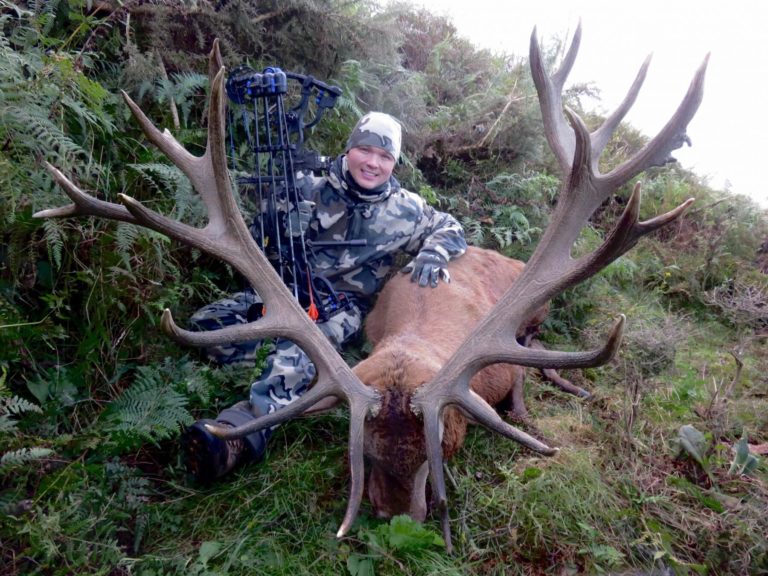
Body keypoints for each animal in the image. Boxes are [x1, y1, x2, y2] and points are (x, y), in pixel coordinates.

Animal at [35, 25, 707, 551]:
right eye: (364, 453)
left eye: (443, 447)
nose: (391, 518)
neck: (411, 348)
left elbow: (515, 390)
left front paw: (527, 419)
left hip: (537, 306)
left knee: (538, 345)